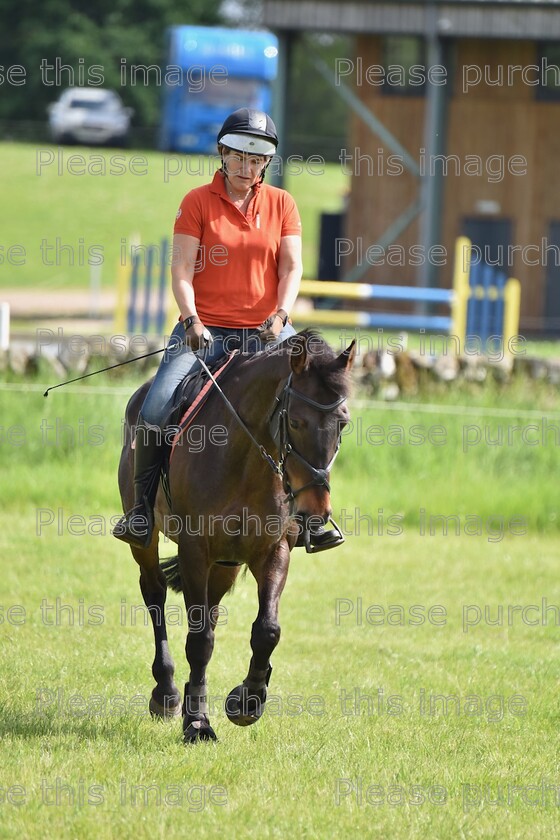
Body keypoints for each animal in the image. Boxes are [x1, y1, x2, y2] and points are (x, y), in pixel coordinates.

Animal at [116, 328, 356, 740]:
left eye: (342, 423)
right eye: (295, 422)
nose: (316, 512)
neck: (247, 461)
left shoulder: (273, 550)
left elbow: (267, 630)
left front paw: (247, 701)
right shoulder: (195, 549)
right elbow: (198, 640)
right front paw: (198, 724)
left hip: (225, 563)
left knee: (211, 610)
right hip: (148, 542)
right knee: (155, 595)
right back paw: (167, 694)